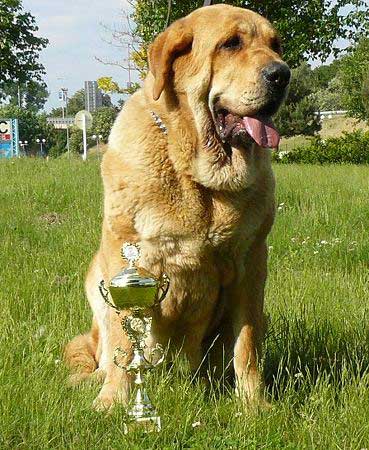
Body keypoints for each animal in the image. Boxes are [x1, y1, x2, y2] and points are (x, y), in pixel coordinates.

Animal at [65, 4, 290, 412]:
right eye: (231, 44)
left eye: (275, 44)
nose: (282, 74)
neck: (199, 175)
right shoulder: (125, 256)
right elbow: (124, 341)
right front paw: (114, 402)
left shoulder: (252, 265)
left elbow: (247, 345)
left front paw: (254, 406)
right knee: (104, 351)